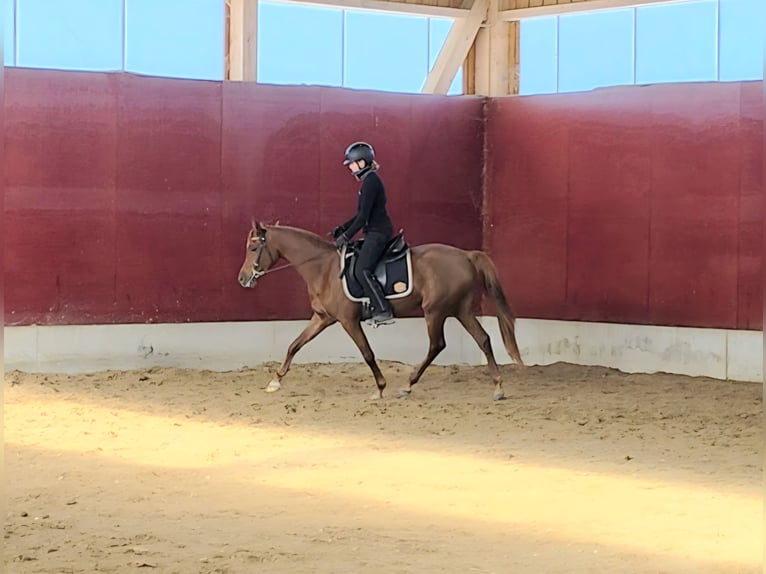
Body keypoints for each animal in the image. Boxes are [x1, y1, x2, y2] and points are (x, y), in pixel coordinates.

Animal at [237, 220, 524, 400]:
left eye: (253, 248)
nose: (242, 278)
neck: (322, 268)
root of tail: (465, 255)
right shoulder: (322, 318)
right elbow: (294, 345)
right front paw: (275, 381)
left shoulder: (348, 320)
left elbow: (367, 353)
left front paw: (379, 388)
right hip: (460, 309)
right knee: (483, 339)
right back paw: (498, 387)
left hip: (435, 311)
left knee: (437, 345)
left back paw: (408, 384)